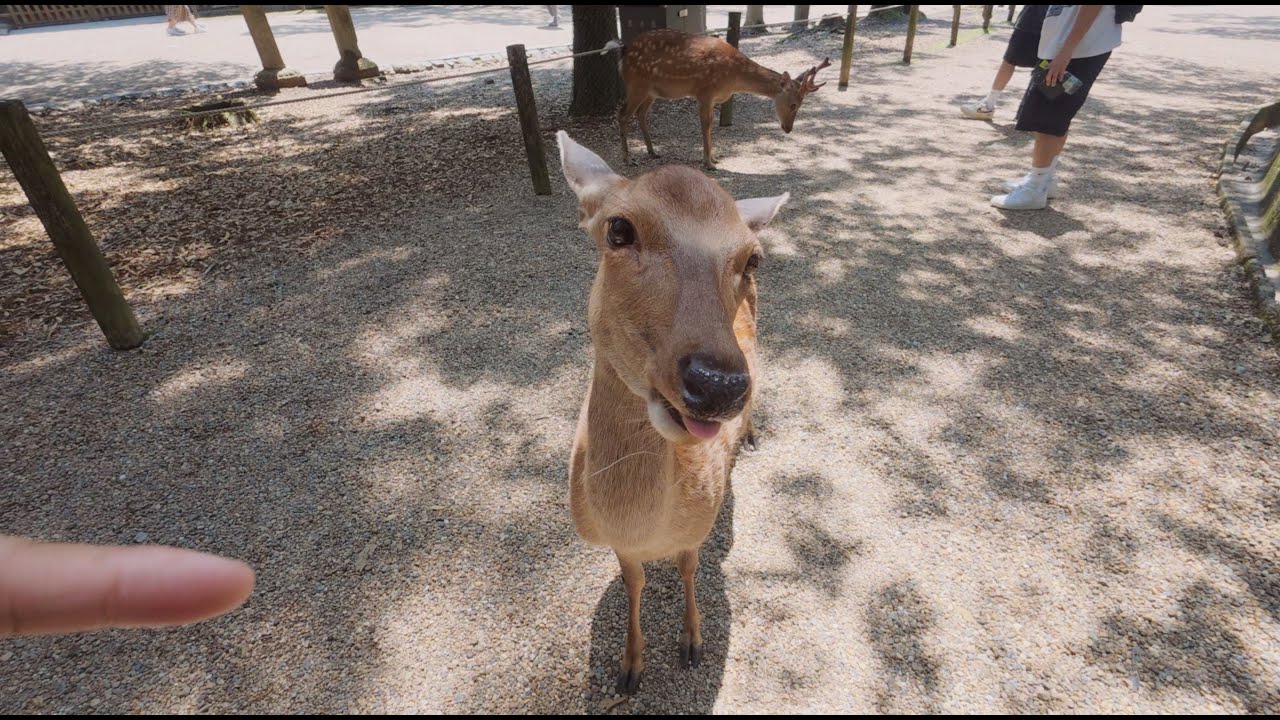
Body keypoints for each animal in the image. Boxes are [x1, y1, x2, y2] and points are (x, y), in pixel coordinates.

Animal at [556, 130, 790, 694]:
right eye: (618, 228)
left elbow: (688, 568)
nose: (719, 385)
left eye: (752, 260)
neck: (644, 526)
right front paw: (629, 668)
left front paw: (691, 643)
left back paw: (750, 436)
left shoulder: (696, 528)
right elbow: (633, 580)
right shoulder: (619, 547)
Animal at [617, 29, 831, 170]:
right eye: (793, 104)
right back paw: (628, 159)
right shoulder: (704, 91)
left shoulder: (713, 98)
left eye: (801, 104)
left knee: (640, 113)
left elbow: (710, 126)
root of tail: (624, 51)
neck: (733, 79)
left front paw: (714, 159)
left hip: (652, 92)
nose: (788, 128)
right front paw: (709, 163)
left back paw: (652, 151)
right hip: (636, 84)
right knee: (623, 114)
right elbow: (706, 125)